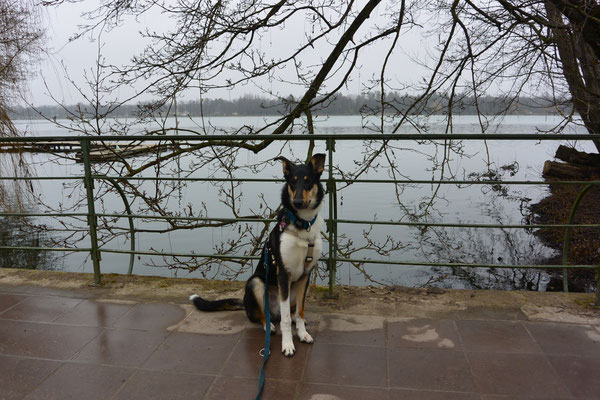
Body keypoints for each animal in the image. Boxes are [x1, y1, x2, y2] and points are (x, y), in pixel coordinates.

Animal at [191, 152, 324, 356]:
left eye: (308, 181)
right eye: (292, 182)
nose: (297, 202)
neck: (303, 225)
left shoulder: (305, 275)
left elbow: (301, 311)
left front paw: (302, 334)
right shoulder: (283, 274)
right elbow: (285, 320)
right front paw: (287, 344)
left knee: (291, 312)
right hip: (256, 283)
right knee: (265, 316)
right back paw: (270, 325)